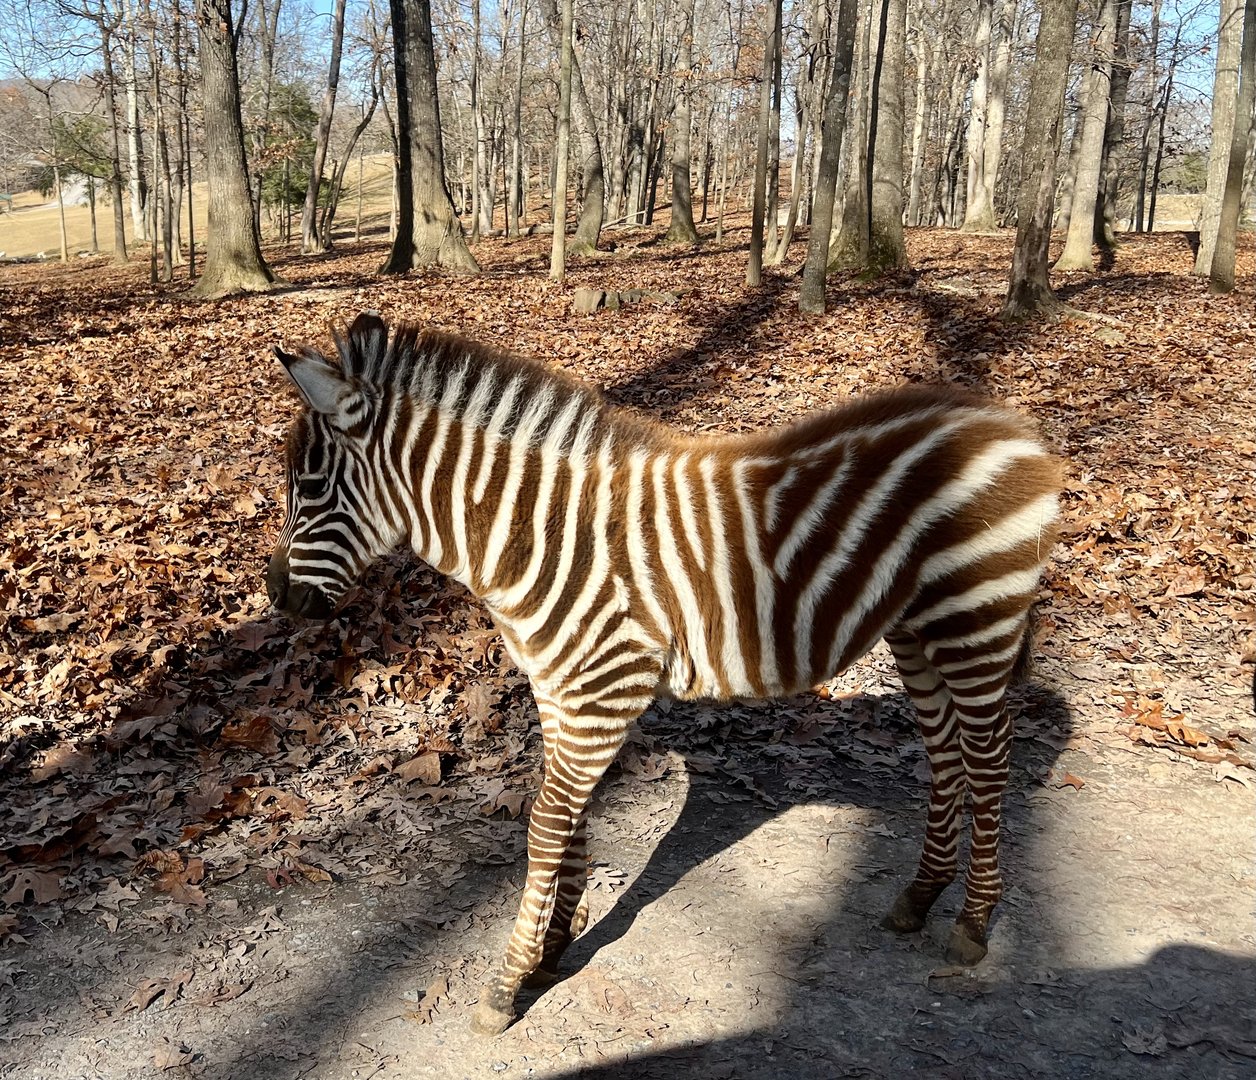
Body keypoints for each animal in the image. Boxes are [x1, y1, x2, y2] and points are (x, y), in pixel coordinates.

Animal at [266, 311, 1062, 1036]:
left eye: (311, 488)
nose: (276, 598)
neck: (539, 538)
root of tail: (1010, 422)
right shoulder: (563, 691)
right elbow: (570, 820)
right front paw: (553, 950)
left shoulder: (602, 693)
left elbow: (547, 825)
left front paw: (506, 983)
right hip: (917, 627)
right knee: (946, 755)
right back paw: (920, 896)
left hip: (976, 614)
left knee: (989, 760)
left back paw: (973, 924)